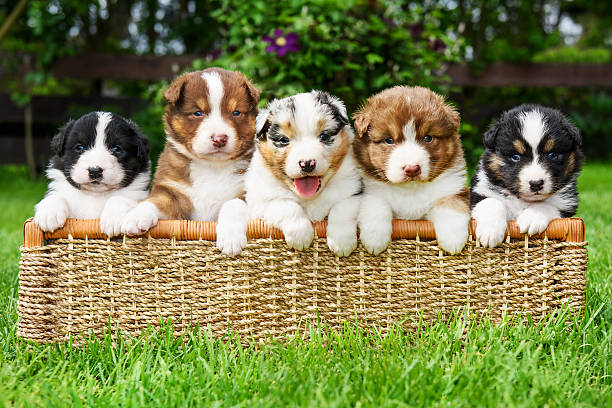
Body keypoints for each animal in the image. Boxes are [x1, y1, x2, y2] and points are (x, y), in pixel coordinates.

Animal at [122, 67, 260, 255]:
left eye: (236, 112)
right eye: (198, 113)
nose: (219, 138)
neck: (212, 167)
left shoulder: (247, 193)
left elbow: (233, 204)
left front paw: (230, 238)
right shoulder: (172, 193)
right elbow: (155, 201)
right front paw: (134, 217)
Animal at [246, 91, 364, 256]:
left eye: (324, 136)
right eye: (283, 139)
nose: (307, 164)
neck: (309, 198)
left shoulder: (354, 190)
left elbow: (342, 207)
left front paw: (341, 242)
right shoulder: (260, 203)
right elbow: (285, 204)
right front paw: (300, 235)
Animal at [352, 86, 470, 255]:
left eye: (428, 138)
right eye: (389, 140)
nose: (412, 169)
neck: (411, 190)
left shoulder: (454, 190)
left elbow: (451, 205)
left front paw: (453, 241)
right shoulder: (370, 190)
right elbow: (375, 203)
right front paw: (374, 240)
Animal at [468, 103, 584, 247]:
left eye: (552, 155)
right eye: (515, 157)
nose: (536, 184)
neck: (522, 200)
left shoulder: (567, 205)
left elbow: (547, 204)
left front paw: (532, 217)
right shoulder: (478, 193)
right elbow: (491, 201)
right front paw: (490, 231)